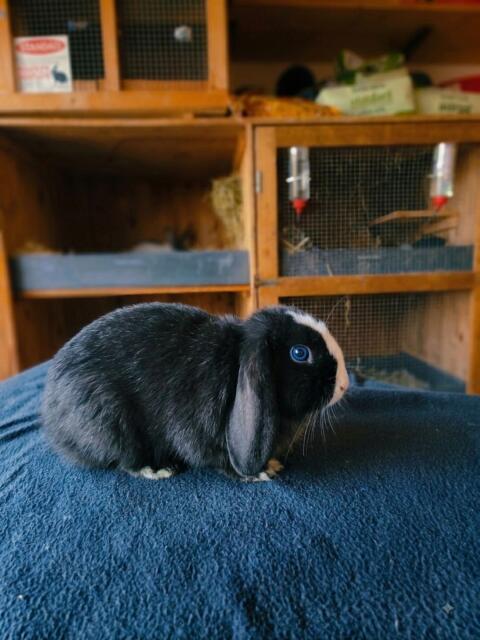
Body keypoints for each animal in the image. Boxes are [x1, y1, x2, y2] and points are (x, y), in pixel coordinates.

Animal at [41, 303, 349, 481]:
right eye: (300, 353)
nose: (345, 385)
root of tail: (51, 414)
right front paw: (262, 472)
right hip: (113, 425)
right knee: (125, 460)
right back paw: (158, 469)